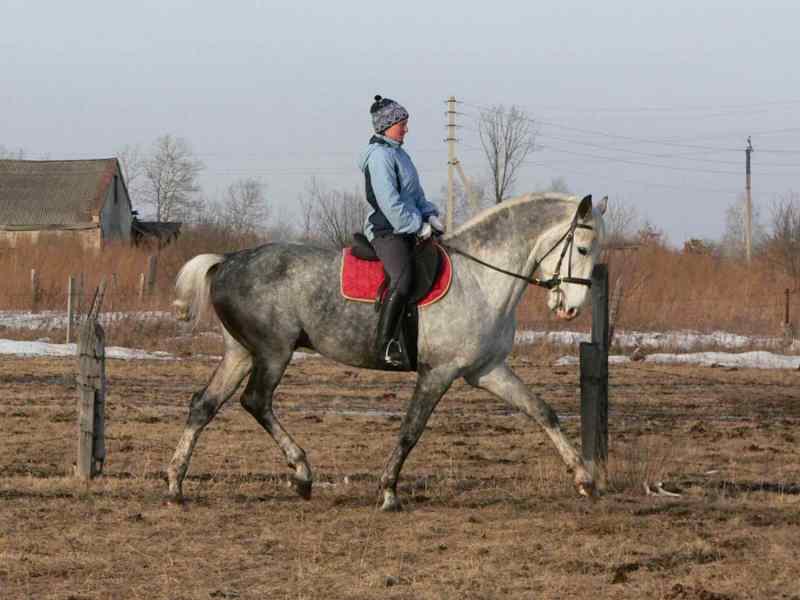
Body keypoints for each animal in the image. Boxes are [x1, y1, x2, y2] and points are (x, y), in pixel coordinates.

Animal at [167, 192, 608, 510]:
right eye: (584, 249)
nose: (570, 308)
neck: (482, 278)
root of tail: (227, 260)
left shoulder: (488, 370)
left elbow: (542, 411)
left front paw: (584, 479)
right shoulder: (438, 371)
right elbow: (411, 429)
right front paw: (389, 492)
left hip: (241, 352)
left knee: (203, 405)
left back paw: (175, 485)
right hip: (274, 351)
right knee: (256, 401)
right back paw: (302, 474)